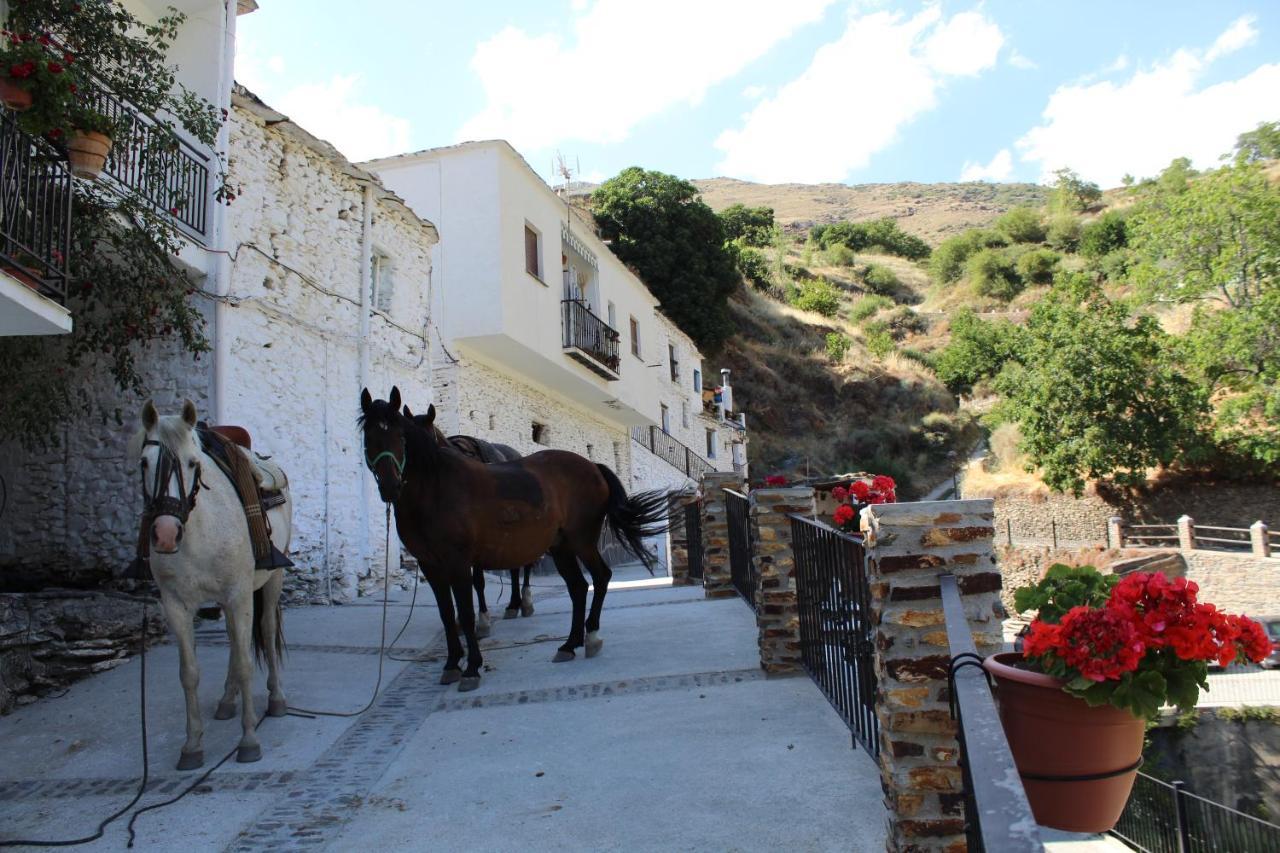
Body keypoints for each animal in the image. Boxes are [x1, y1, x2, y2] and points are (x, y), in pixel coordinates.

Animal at [128, 397, 291, 763]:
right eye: (144, 463)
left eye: (192, 463)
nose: (165, 534)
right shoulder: (175, 605)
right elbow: (189, 673)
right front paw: (192, 746)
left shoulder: (239, 593)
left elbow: (246, 663)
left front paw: (249, 740)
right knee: (232, 637)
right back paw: (227, 701)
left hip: (272, 579)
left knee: (265, 630)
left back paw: (276, 698)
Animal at [355, 389, 665, 686]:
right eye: (368, 437)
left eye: (401, 436)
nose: (390, 487)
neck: (435, 489)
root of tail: (592, 466)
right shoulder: (431, 565)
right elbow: (446, 614)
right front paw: (452, 664)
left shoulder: (458, 562)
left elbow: (466, 612)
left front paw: (472, 668)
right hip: (561, 547)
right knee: (578, 587)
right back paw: (569, 644)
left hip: (582, 541)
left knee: (600, 577)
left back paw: (590, 636)